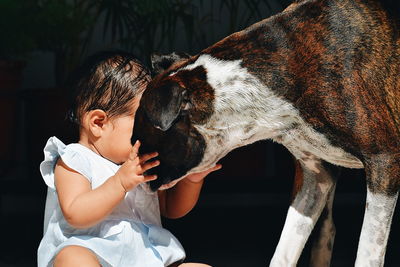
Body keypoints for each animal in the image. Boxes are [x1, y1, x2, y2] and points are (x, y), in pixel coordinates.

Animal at [134, 1, 400, 266]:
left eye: (139, 141)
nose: (138, 176)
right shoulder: (316, 178)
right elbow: (284, 251)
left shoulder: (383, 165)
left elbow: (368, 253)